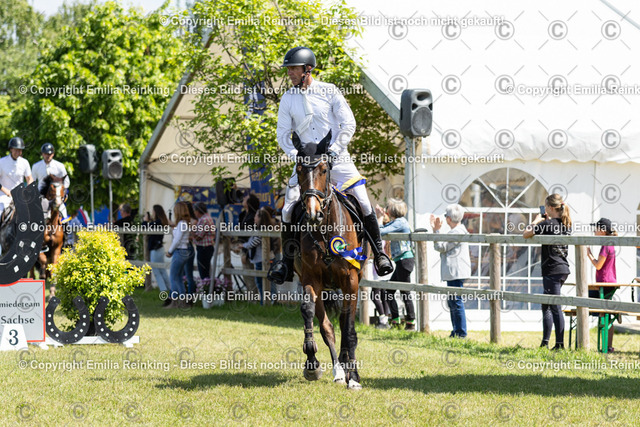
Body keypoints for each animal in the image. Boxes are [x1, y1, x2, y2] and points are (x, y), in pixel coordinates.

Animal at [293, 147, 367, 390]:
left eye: (324, 170)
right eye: (298, 170)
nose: (312, 213)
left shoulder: (351, 281)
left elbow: (349, 328)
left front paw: (354, 377)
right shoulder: (311, 279)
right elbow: (310, 314)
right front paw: (312, 363)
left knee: (344, 323)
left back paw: (346, 367)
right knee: (328, 327)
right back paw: (338, 370)